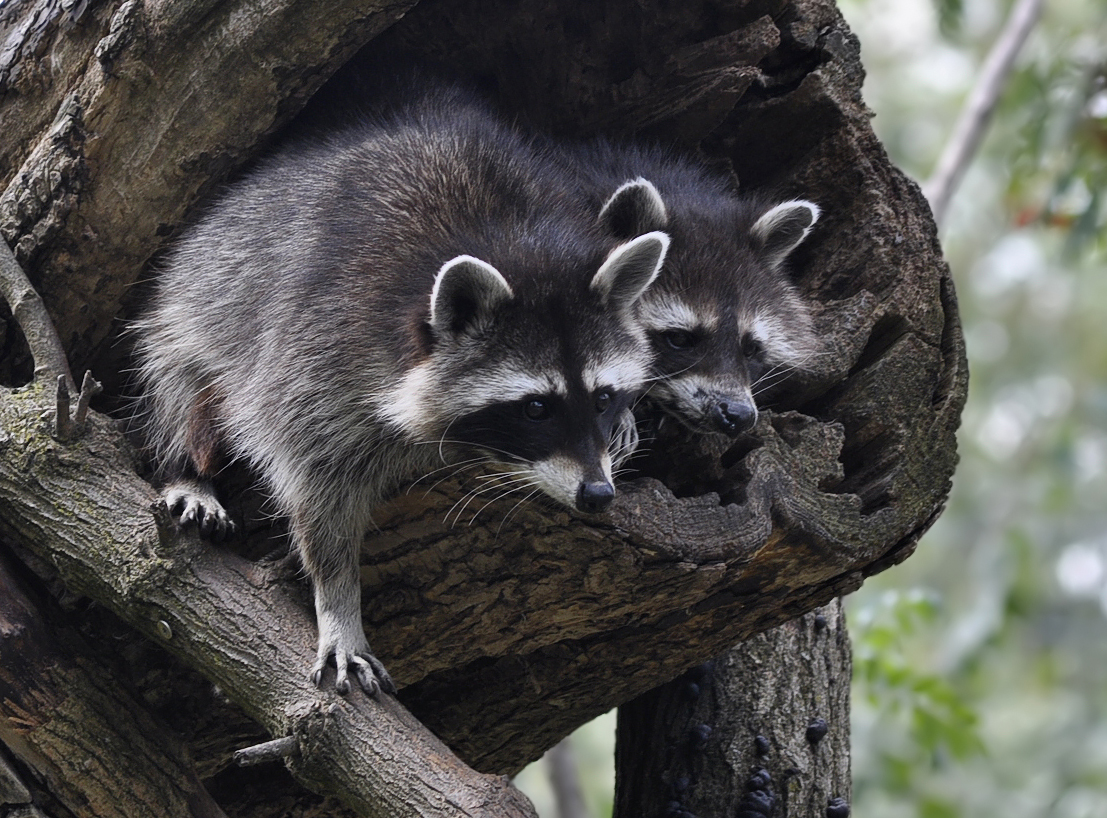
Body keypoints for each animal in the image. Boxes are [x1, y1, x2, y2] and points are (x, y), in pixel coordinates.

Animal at [129, 83, 664, 699]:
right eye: (536, 408)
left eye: (602, 397)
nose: (597, 495)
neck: (510, 237)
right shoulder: (315, 350)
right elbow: (315, 486)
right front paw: (337, 602)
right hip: (194, 295)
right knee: (176, 380)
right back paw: (186, 469)